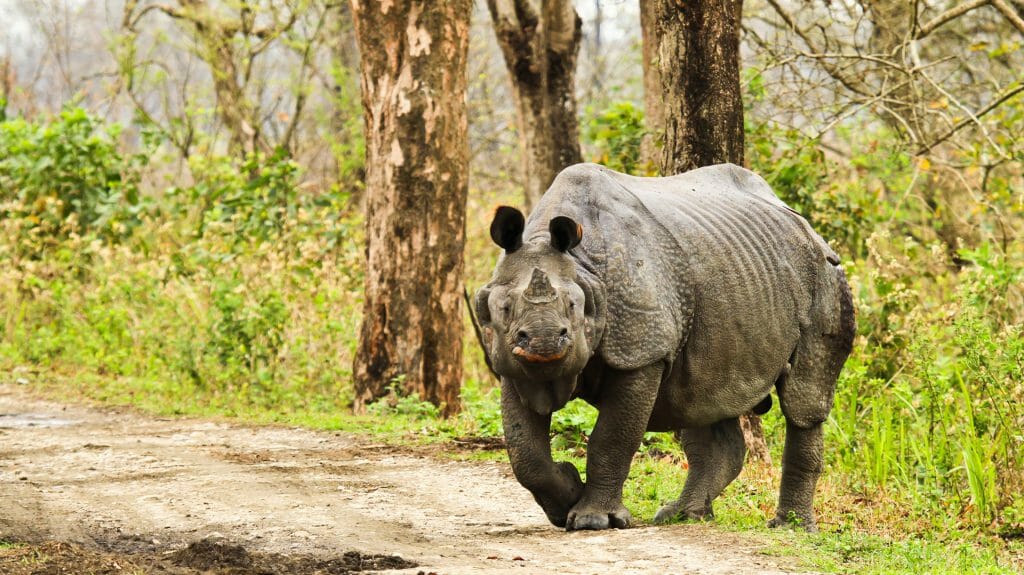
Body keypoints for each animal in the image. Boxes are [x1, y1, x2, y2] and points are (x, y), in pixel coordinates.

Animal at [474, 163, 855, 532]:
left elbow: (612, 437)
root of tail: (804, 225)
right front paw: (567, 491)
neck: (584, 268)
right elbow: (524, 452)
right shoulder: (511, 361)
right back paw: (683, 515)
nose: (546, 340)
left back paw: (791, 527)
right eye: (504, 308)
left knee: (803, 401)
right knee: (700, 397)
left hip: (825, 275)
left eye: (573, 306)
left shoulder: (643, 353)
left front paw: (593, 520)